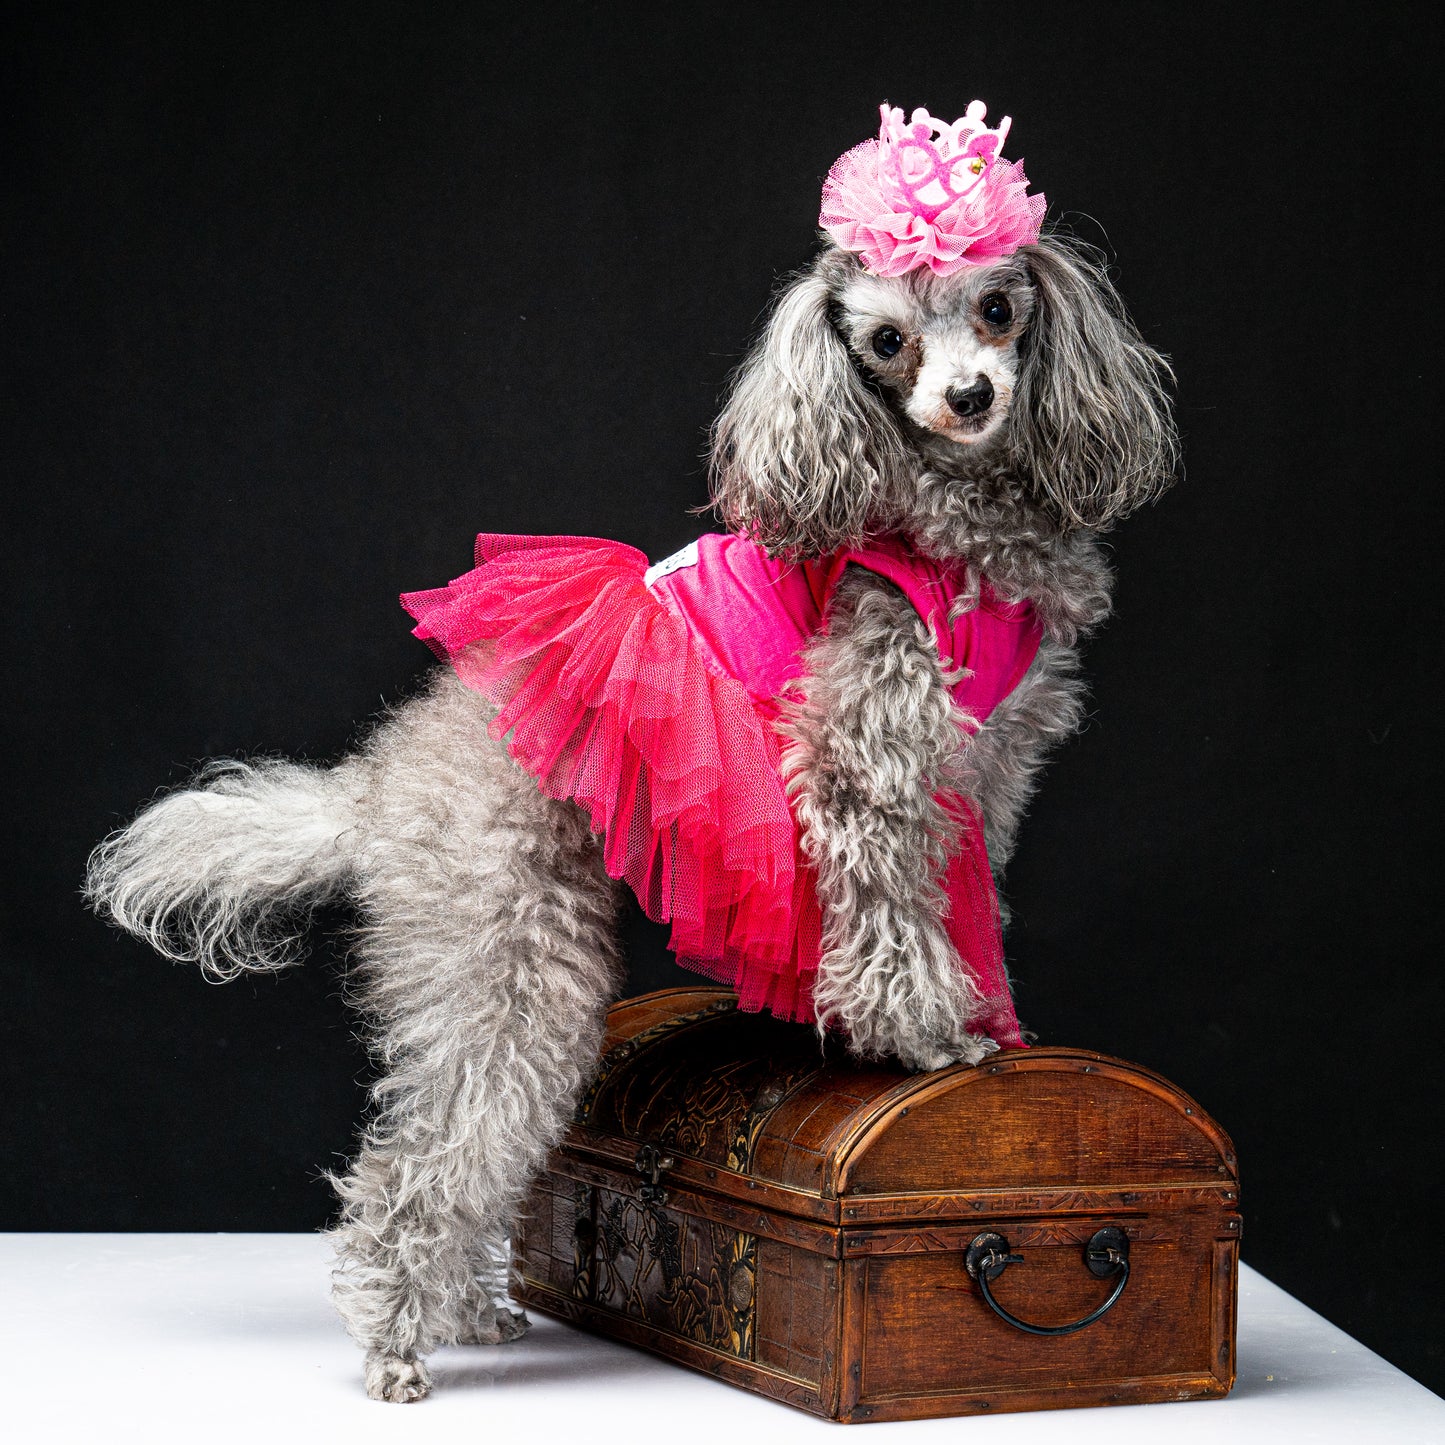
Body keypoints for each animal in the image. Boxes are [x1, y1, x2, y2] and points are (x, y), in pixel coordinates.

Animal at [87, 104, 1173, 1398]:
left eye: (1000, 306)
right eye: (885, 340)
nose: (965, 394)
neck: (948, 519)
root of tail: (385, 780)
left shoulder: (983, 771)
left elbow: (962, 899)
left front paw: (989, 1019)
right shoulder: (864, 755)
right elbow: (894, 916)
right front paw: (926, 1033)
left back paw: (469, 1310)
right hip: (506, 958)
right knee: (422, 1162)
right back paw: (396, 1345)